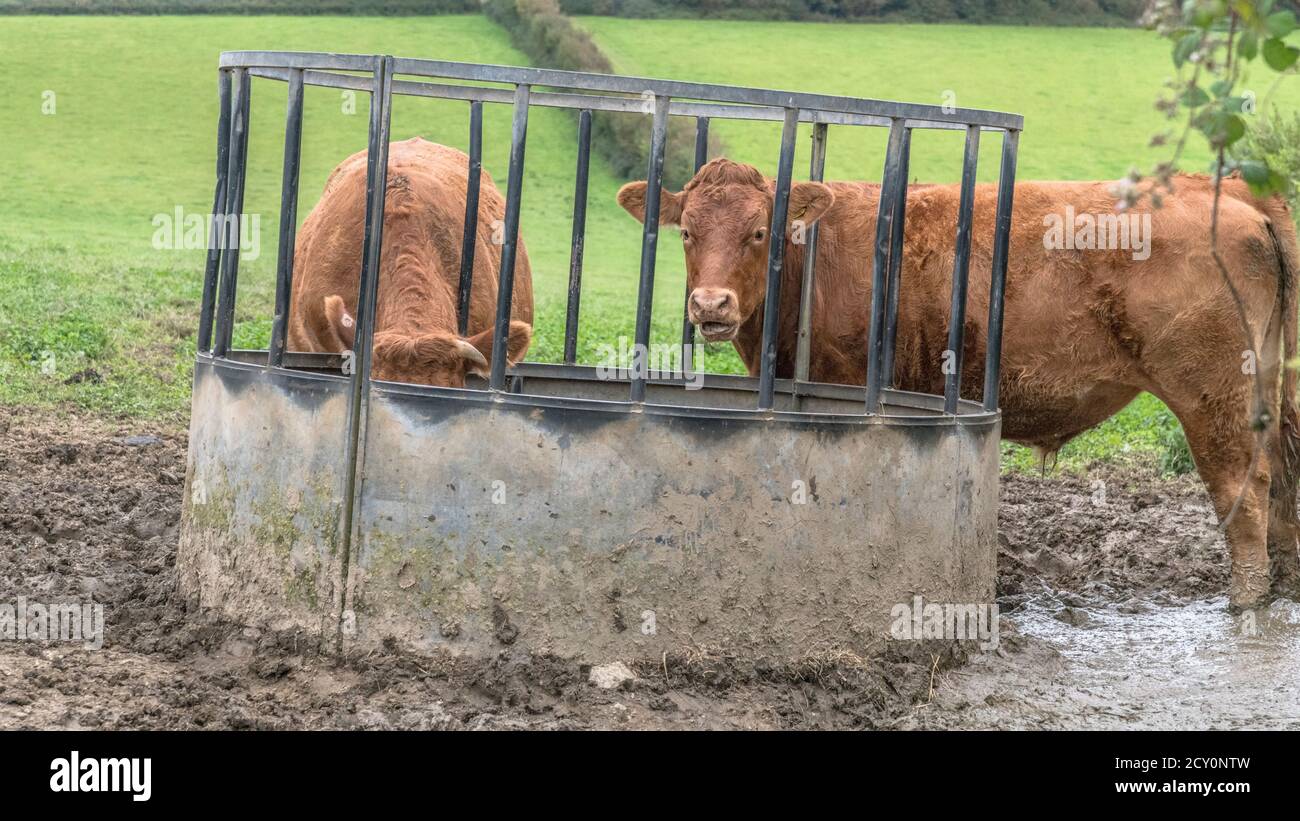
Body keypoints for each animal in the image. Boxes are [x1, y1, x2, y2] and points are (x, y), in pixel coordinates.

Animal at [616, 157, 1300, 613]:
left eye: (759, 232)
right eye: (686, 231)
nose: (710, 303)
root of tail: (1231, 190)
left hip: (1211, 393)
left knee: (1244, 484)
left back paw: (1245, 602)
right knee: (1285, 477)